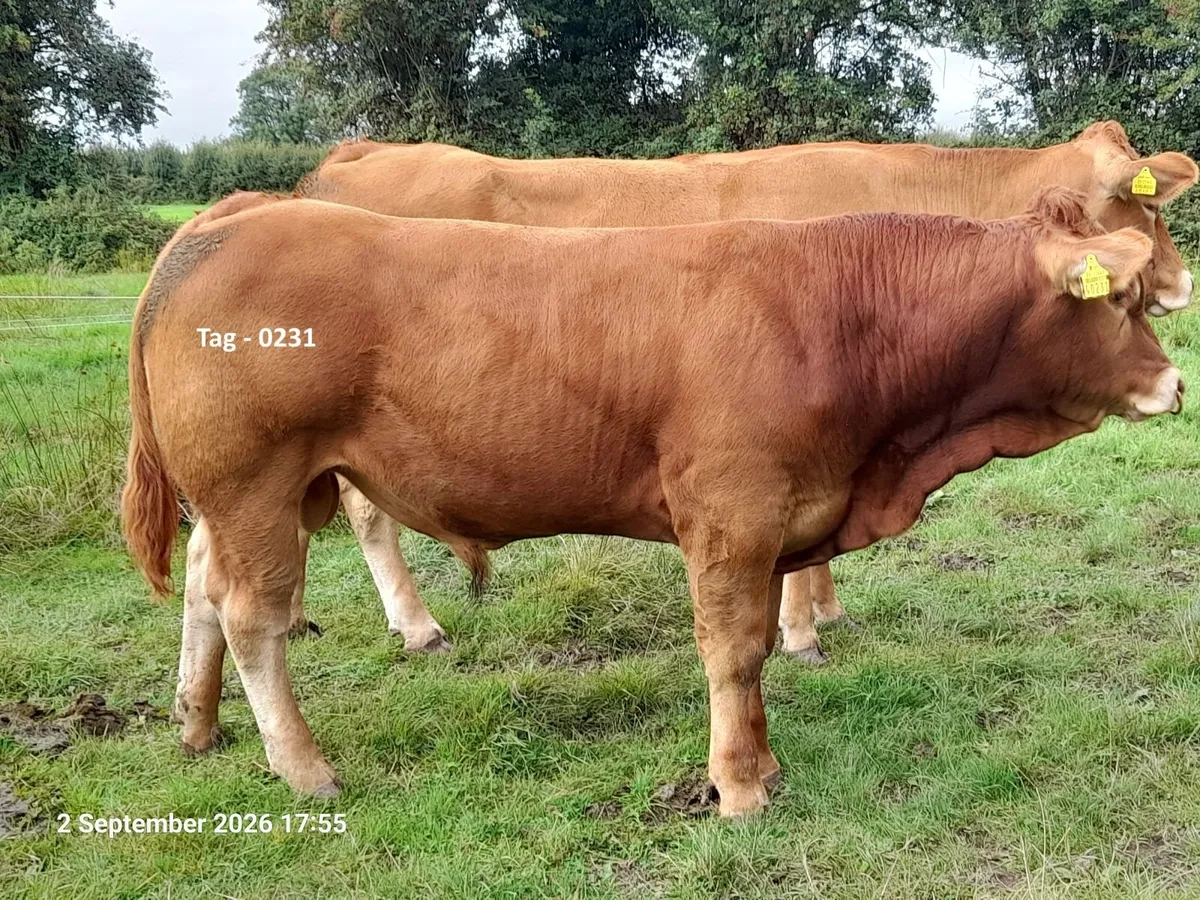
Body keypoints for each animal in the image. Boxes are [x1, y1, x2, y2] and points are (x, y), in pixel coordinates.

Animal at [123, 188, 1183, 816]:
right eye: (1121, 300)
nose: (1175, 386)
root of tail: (231, 218)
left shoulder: (776, 522)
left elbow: (758, 651)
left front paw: (759, 762)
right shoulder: (732, 516)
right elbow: (734, 653)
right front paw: (741, 785)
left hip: (243, 500)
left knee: (205, 592)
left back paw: (196, 724)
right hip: (255, 485)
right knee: (254, 618)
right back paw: (303, 767)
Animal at [284, 121, 1199, 664]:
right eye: (1142, 212)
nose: (1184, 283)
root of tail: (357, 155)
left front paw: (824, 609)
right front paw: (800, 630)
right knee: (364, 514)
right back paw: (414, 624)